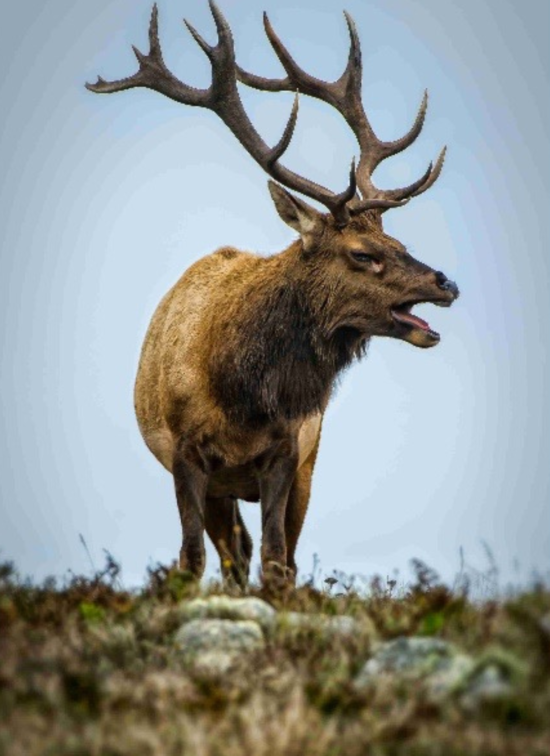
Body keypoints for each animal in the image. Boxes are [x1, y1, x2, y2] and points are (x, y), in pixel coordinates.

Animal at [87, 2, 459, 590]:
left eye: (399, 243)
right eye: (362, 253)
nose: (446, 283)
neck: (240, 395)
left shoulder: (289, 453)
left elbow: (278, 560)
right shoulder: (186, 456)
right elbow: (190, 561)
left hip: (307, 464)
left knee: (263, 551)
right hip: (219, 485)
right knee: (230, 552)